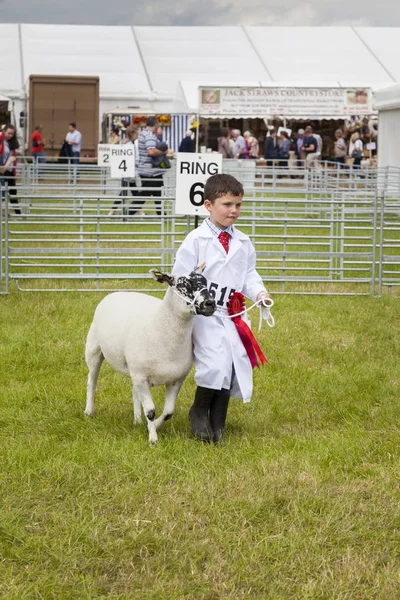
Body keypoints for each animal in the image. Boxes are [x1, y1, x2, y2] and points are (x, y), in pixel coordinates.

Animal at [83, 264, 216, 442]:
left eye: (206, 283)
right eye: (181, 285)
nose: (210, 303)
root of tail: (117, 292)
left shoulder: (176, 379)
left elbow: (168, 412)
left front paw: (152, 427)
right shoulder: (142, 376)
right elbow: (151, 411)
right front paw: (153, 439)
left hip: (134, 369)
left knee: (134, 392)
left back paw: (137, 420)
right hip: (94, 349)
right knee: (92, 382)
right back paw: (89, 411)